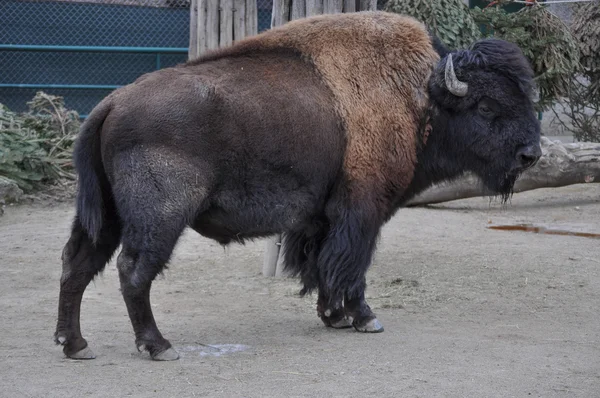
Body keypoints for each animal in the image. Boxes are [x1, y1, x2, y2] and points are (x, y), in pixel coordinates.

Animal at [54, 11, 540, 360]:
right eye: (486, 105)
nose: (530, 154)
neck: (420, 97)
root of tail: (112, 103)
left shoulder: (319, 218)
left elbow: (322, 264)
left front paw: (333, 316)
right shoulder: (362, 211)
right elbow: (351, 265)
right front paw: (365, 318)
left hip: (105, 216)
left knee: (77, 264)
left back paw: (75, 345)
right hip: (159, 218)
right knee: (133, 270)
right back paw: (158, 346)